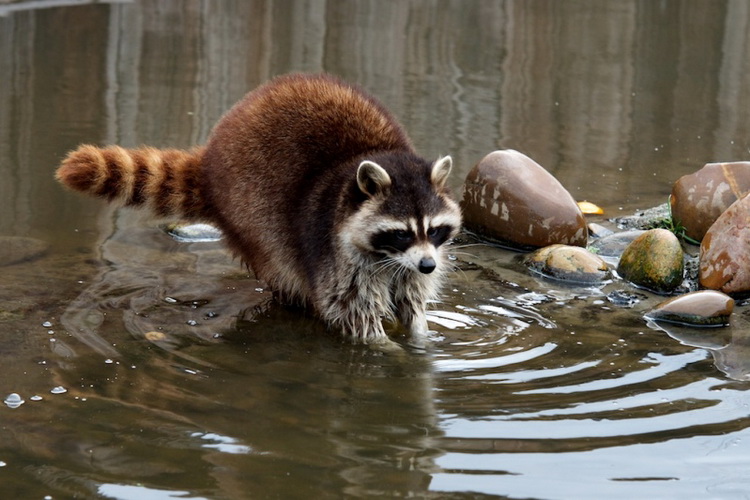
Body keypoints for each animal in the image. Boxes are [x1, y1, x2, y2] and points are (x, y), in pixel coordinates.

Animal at [55, 74, 462, 346]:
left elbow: (412, 301)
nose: (429, 265)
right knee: (282, 261)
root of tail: (211, 159)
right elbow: (351, 312)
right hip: (250, 209)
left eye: (435, 229)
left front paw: (421, 338)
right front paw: (387, 349)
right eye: (401, 232)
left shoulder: (411, 263)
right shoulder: (336, 253)